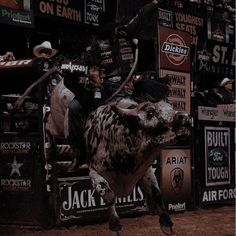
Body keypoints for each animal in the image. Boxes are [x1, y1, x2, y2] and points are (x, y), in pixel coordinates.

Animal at [43, 73, 191, 235]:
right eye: (150, 113)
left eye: (170, 107)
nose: (184, 117)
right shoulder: (95, 171)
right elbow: (108, 194)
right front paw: (115, 225)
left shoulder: (144, 170)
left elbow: (156, 192)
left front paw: (166, 223)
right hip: (57, 124)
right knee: (48, 124)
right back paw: (50, 151)